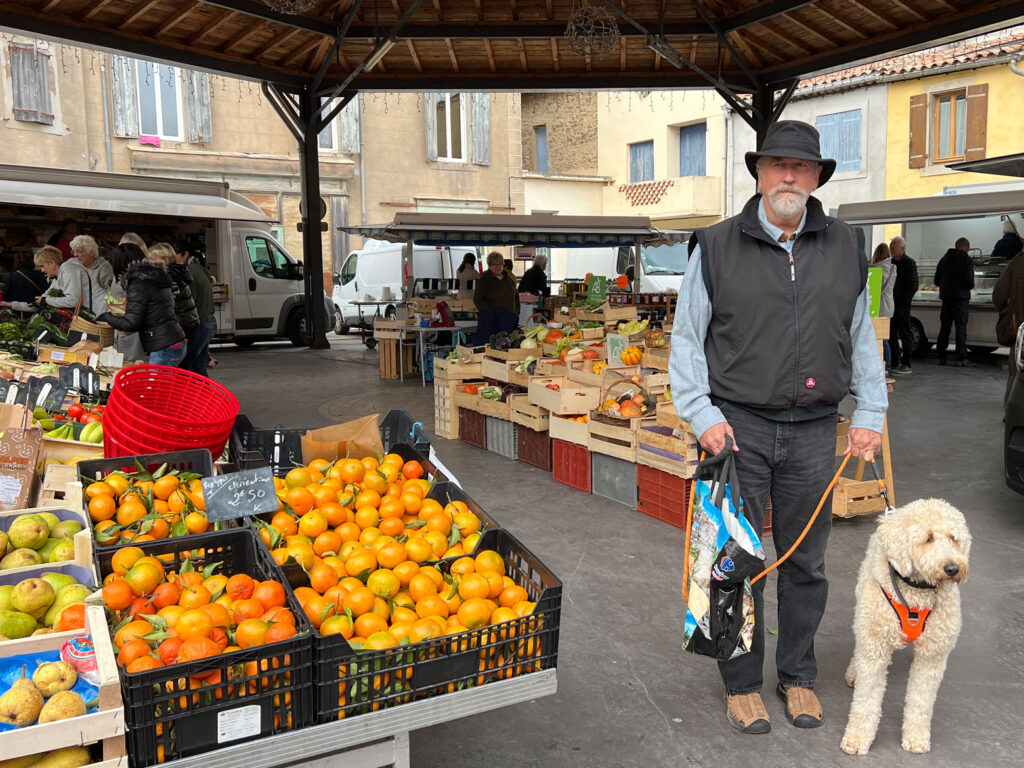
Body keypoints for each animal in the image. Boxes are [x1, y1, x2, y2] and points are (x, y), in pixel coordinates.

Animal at [839, 499, 966, 757]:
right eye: (928, 538)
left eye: (953, 538)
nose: (952, 568)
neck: (916, 591)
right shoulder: (875, 648)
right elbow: (865, 700)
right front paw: (857, 738)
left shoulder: (932, 656)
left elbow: (921, 701)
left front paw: (915, 738)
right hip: (865, 615)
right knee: (860, 646)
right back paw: (854, 671)